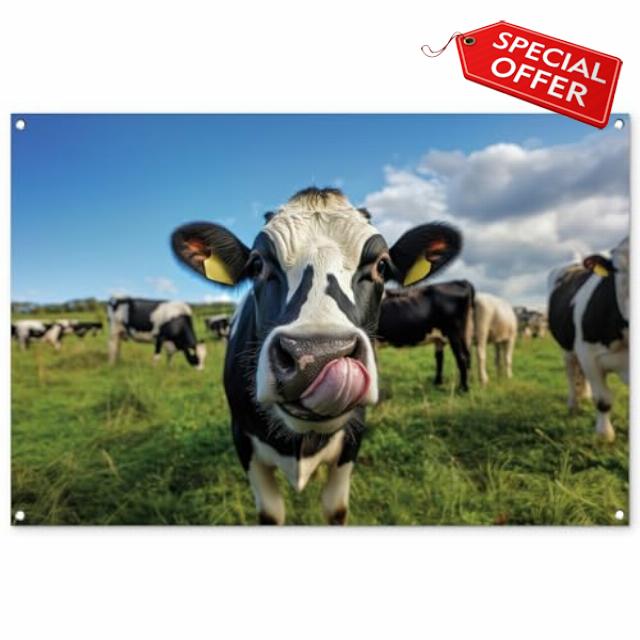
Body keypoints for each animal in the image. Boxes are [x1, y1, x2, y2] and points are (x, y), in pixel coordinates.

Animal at [171, 187, 462, 524]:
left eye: (382, 266)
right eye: (256, 265)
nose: (316, 357)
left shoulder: (353, 439)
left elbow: (335, 508)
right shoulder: (242, 439)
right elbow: (271, 513)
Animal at [547, 237, 629, 442]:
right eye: (618, 270)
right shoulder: (589, 356)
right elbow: (603, 400)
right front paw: (604, 435)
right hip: (567, 348)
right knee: (570, 372)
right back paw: (574, 403)